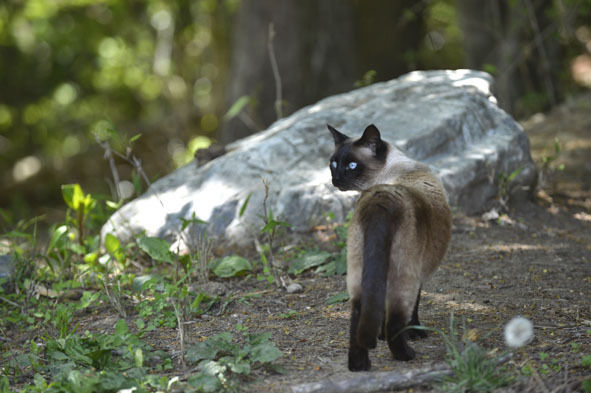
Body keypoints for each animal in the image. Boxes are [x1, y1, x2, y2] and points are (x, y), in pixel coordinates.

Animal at [328, 123, 454, 370]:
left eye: (351, 165)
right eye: (334, 163)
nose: (335, 179)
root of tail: (382, 200)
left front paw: (379, 337)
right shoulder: (418, 274)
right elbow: (413, 308)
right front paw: (415, 334)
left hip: (359, 273)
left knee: (357, 316)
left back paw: (359, 366)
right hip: (404, 275)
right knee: (396, 319)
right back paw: (406, 354)